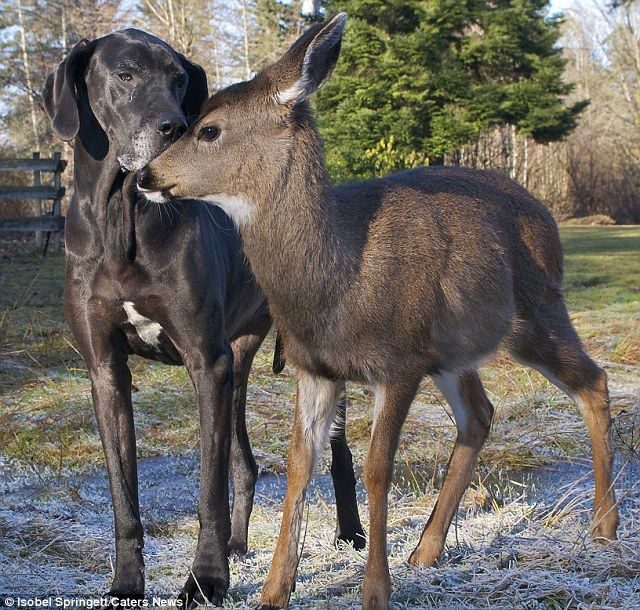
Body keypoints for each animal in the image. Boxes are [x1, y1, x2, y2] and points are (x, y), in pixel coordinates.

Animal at [138, 14, 619, 610]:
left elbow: (375, 469)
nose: (146, 175)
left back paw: (603, 527)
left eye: (208, 130)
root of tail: (547, 215)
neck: (337, 279)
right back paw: (426, 550)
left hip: (537, 310)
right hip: (454, 349)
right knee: (480, 414)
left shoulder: (399, 360)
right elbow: (299, 466)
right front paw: (274, 591)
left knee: (592, 381)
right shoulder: (316, 367)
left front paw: (374, 590)